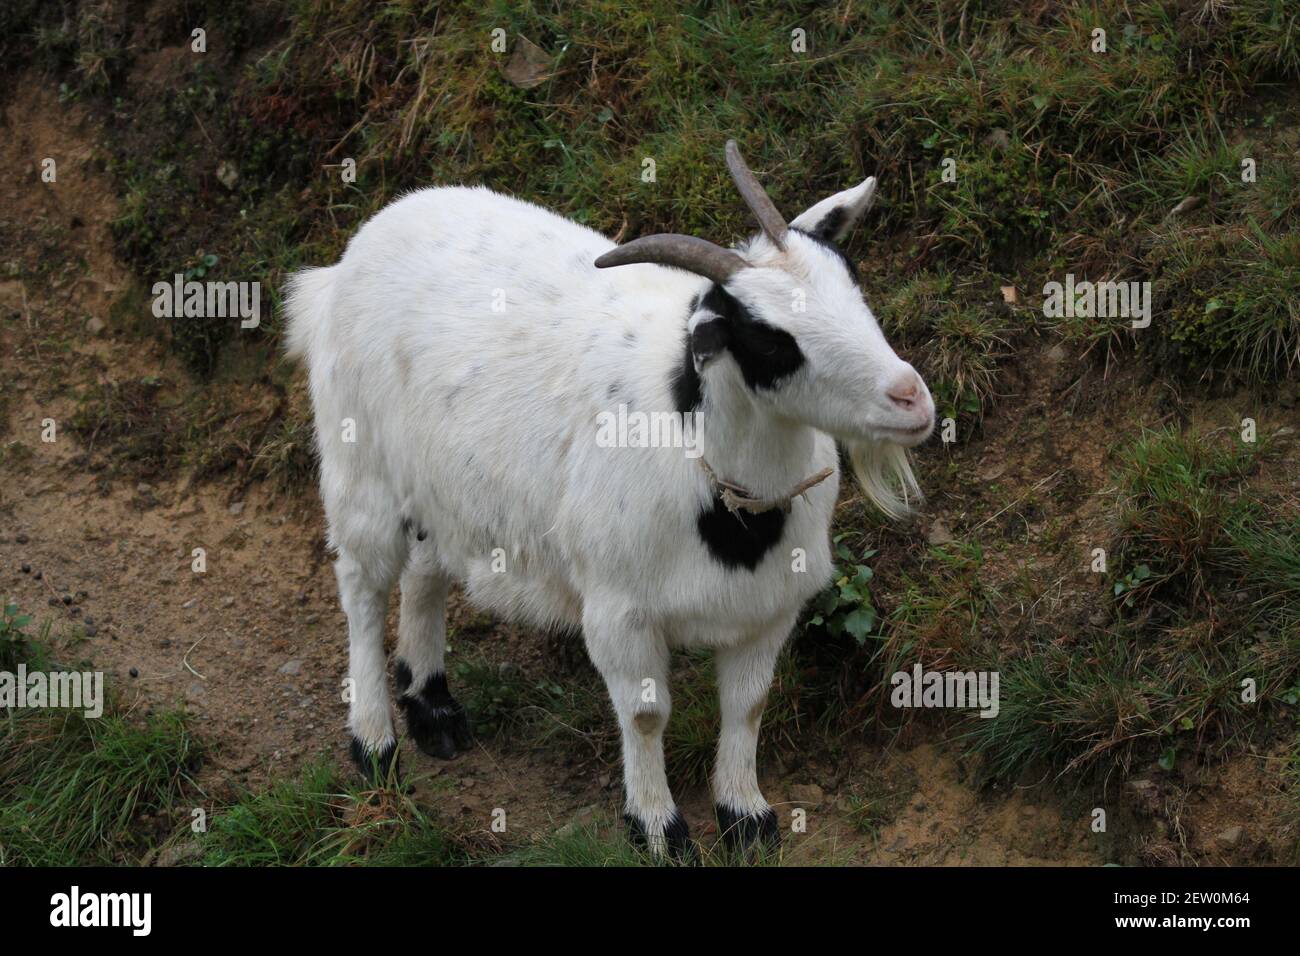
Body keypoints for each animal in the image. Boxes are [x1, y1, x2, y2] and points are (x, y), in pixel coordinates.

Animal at [284, 143, 935, 858]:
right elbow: (647, 715)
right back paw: (375, 745)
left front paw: (747, 817)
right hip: (359, 463)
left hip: (444, 487)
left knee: (426, 572)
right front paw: (657, 829)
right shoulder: (621, 611)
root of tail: (352, 256)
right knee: (362, 588)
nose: (912, 399)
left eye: (852, 283)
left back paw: (434, 711)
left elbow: (748, 705)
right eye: (770, 338)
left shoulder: (768, 608)